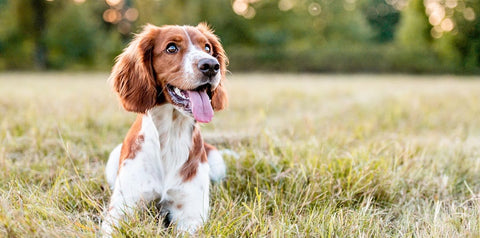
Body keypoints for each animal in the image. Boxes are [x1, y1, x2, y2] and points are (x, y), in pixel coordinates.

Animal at [101, 23, 229, 235]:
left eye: (207, 48)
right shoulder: (120, 210)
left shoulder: (190, 215)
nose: (211, 65)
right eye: (171, 48)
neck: (171, 134)